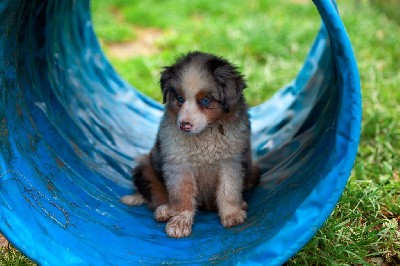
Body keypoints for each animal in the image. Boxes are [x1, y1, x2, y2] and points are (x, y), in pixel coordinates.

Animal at [122, 51, 260, 238]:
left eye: (206, 101)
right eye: (180, 98)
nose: (184, 125)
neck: (205, 136)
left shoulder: (231, 161)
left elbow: (228, 190)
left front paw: (232, 215)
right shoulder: (178, 165)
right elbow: (182, 197)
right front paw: (179, 223)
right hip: (145, 167)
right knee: (156, 196)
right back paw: (164, 210)